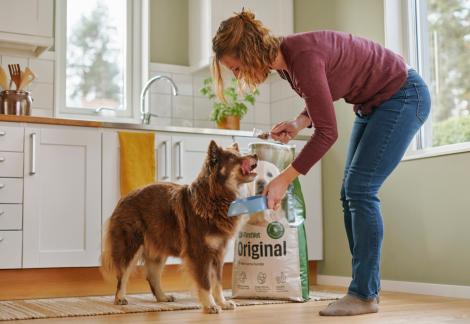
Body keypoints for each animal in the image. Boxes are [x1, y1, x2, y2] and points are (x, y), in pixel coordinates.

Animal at [100, 140, 258, 312]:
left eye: (241, 154)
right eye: (232, 158)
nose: (255, 155)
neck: (214, 197)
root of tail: (124, 198)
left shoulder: (218, 253)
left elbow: (218, 283)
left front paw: (222, 303)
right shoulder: (200, 253)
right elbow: (206, 283)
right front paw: (210, 305)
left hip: (158, 248)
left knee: (152, 276)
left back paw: (162, 297)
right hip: (131, 246)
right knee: (123, 274)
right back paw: (120, 298)